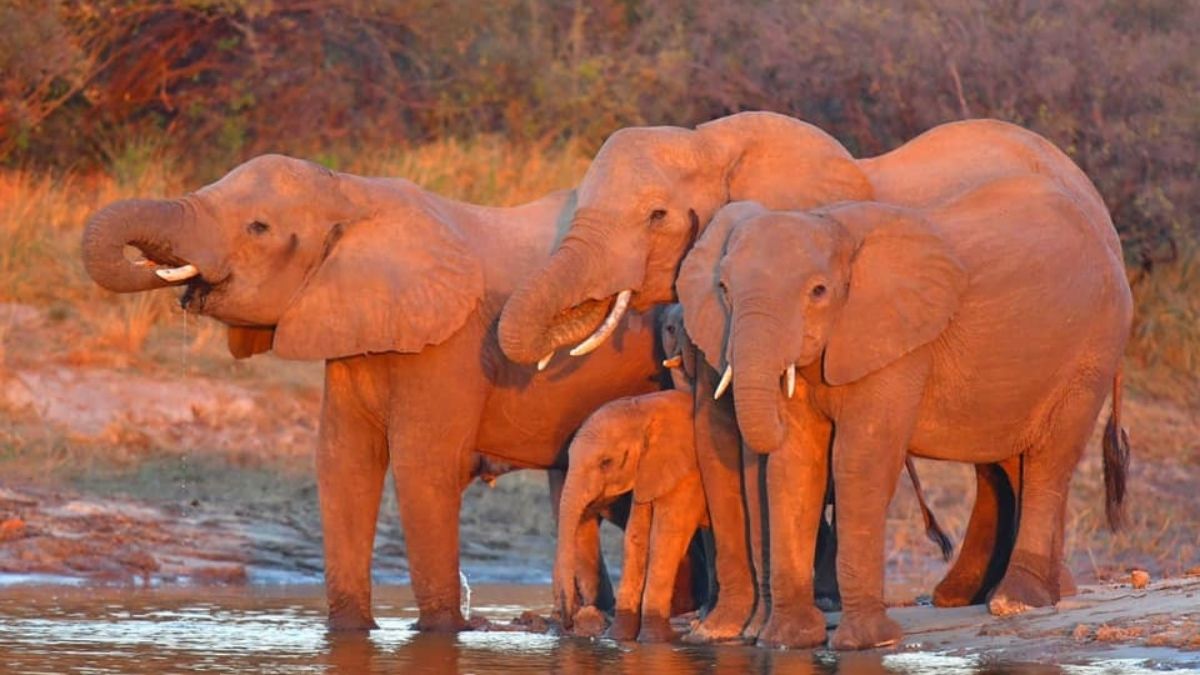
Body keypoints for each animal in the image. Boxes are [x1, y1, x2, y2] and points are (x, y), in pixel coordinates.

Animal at [82, 153, 667, 629]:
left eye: (258, 226)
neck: (352, 192)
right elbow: (343, 463)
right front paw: (350, 632)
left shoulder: (450, 344)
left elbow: (421, 469)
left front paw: (440, 632)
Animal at [554, 386, 705, 638]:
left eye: (606, 462)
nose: (567, 622)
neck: (644, 409)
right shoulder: (646, 472)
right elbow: (636, 535)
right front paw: (618, 638)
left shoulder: (688, 473)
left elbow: (666, 537)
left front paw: (655, 639)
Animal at [681, 178, 1128, 648]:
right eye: (723, 289)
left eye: (819, 292)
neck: (833, 227)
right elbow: (796, 461)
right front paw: (788, 642)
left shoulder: (898, 343)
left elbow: (860, 460)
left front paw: (867, 643)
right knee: (1010, 460)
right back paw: (1021, 595)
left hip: (1093, 348)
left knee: (1049, 460)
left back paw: (1015, 601)